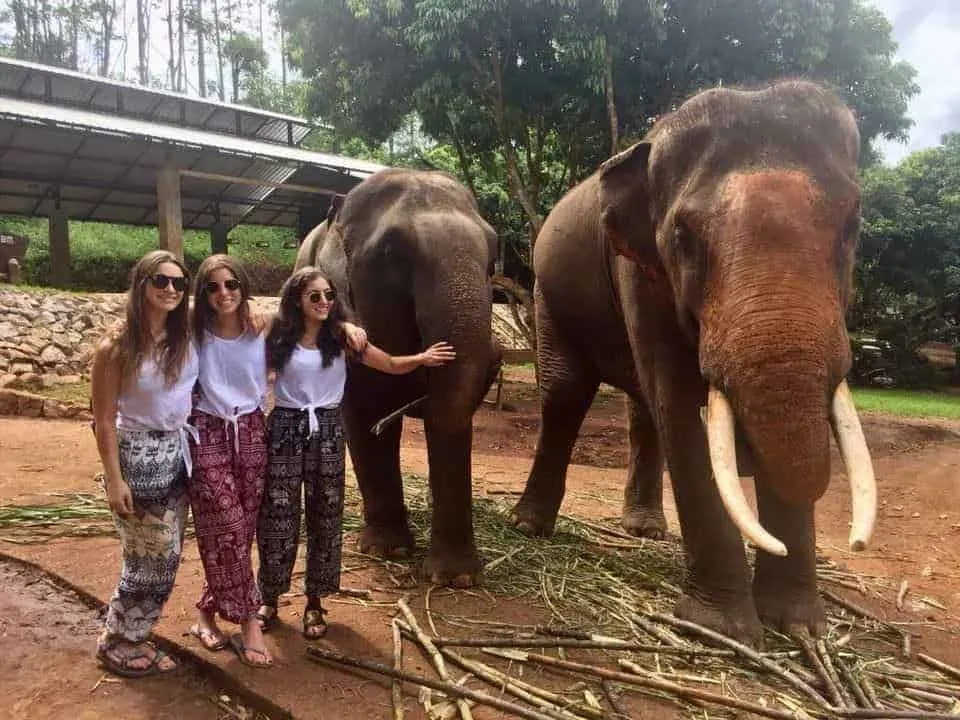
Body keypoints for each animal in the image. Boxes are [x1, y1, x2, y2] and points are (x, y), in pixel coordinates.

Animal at [292, 172, 502, 588]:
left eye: (492, 257)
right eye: (391, 253)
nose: (499, 351)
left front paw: (456, 578)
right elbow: (362, 416)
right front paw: (388, 551)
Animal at [510, 81, 876, 644]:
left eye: (852, 224)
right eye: (683, 235)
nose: (856, 546)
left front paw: (799, 628)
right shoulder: (639, 271)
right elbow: (681, 408)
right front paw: (721, 630)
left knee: (642, 407)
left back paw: (644, 530)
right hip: (548, 293)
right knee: (566, 391)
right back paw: (528, 526)